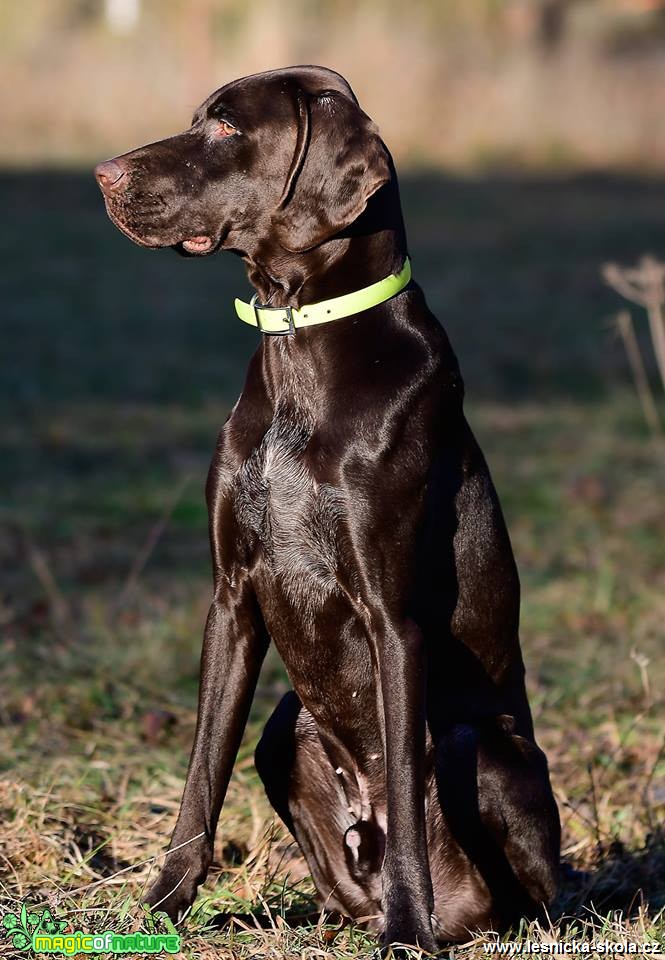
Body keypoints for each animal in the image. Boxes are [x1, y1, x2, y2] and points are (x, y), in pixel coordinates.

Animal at [94, 65, 560, 952]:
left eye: (225, 129)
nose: (102, 173)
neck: (299, 339)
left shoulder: (392, 620)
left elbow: (408, 798)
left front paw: (406, 932)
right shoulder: (231, 600)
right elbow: (201, 773)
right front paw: (162, 907)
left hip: (476, 744)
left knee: (518, 889)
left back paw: (439, 918)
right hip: (289, 728)